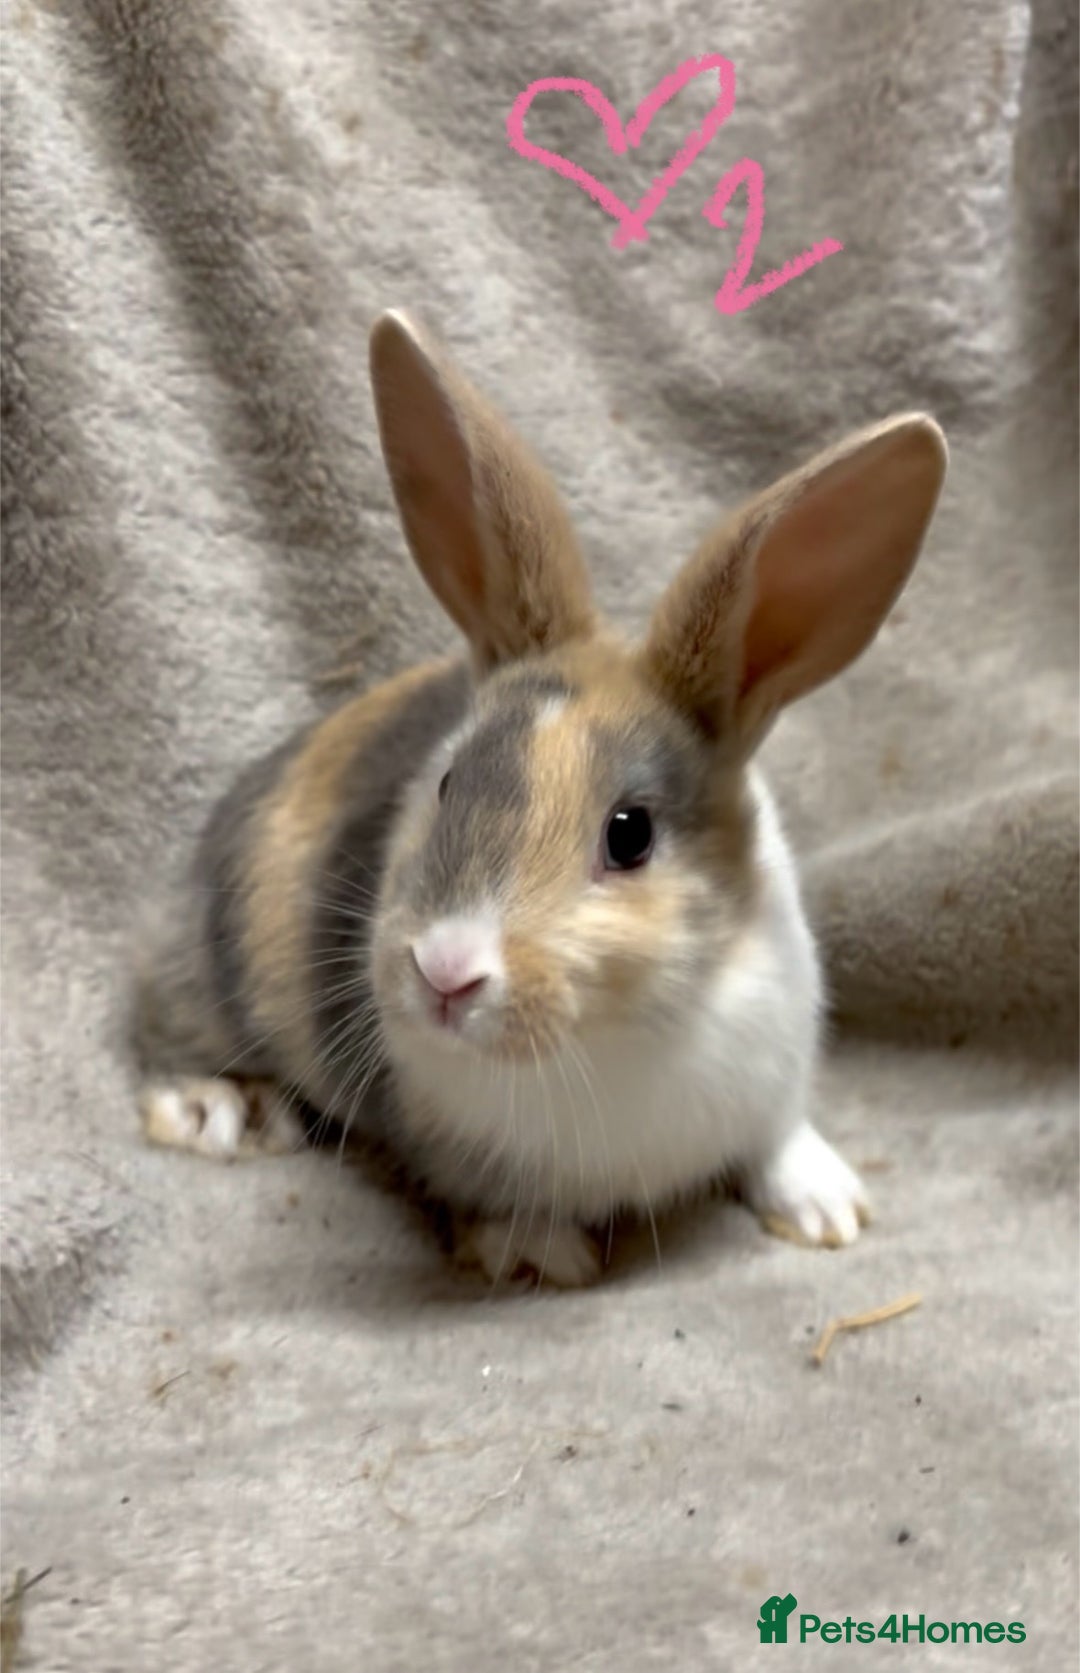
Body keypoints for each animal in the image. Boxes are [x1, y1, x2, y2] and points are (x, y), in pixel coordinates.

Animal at [135, 310, 947, 1287]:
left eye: (630, 834)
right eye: (447, 782)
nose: (445, 973)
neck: (613, 1035)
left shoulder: (775, 1070)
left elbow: (778, 1137)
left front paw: (830, 1212)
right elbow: (487, 1199)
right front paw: (538, 1254)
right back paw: (210, 1112)